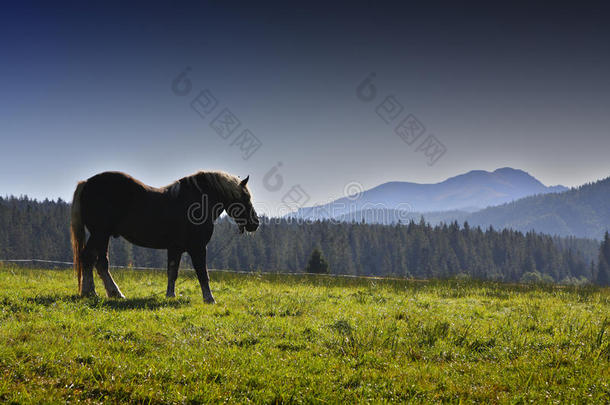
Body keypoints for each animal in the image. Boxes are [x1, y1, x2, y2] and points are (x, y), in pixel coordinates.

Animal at [69, 169, 258, 302]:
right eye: (245, 197)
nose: (255, 223)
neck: (196, 202)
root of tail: (87, 183)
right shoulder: (197, 248)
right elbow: (202, 273)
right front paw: (209, 298)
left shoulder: (175, 248)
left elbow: (172, 272)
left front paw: (170, 295)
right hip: (99, 234)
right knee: (88, 258)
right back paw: (90, 292)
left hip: (103, 236)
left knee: (101, 263)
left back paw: (115, 293)